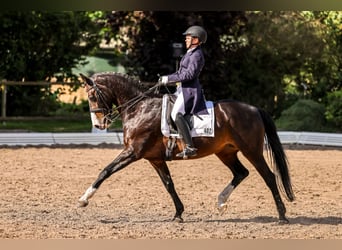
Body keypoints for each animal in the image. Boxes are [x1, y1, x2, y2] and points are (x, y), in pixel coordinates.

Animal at [77, 71, 294, 224]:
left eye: (92, 96)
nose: (98, 125)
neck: (140, 108)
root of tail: (254, 109)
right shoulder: (155, 158)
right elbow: (169, 185)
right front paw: (178, 214)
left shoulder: (133, 152)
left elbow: (106, 171)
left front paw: (84, 199)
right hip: (225, 152)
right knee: (241, 173)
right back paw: (221, 202)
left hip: (251, 151)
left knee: (269, 177)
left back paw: (282, 215)